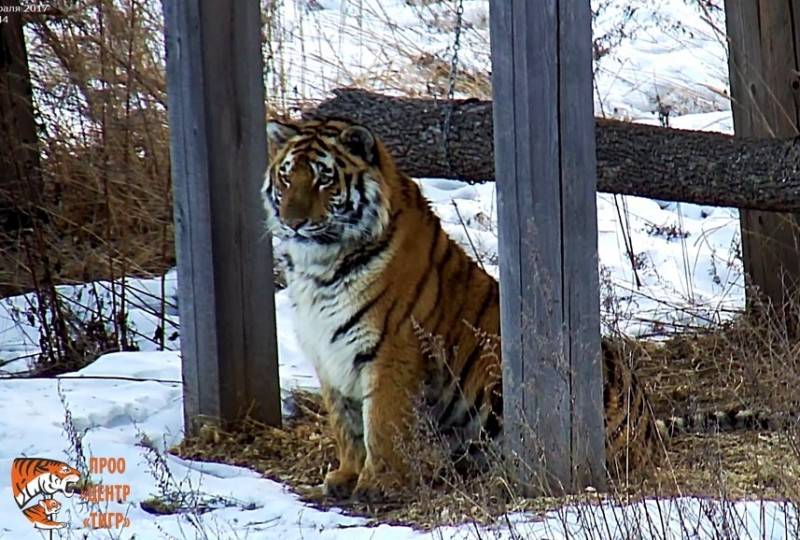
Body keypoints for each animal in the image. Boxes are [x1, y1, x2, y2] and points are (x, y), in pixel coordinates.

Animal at [262, 116, 780, 500]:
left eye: (325, 179)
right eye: (287, 176)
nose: (292, 222)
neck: (319, 268)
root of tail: (648, 422)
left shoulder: (391, 350)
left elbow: (381, 425)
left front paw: (378, 484)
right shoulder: (330, 354)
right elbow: (346, 423)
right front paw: (346, 476)